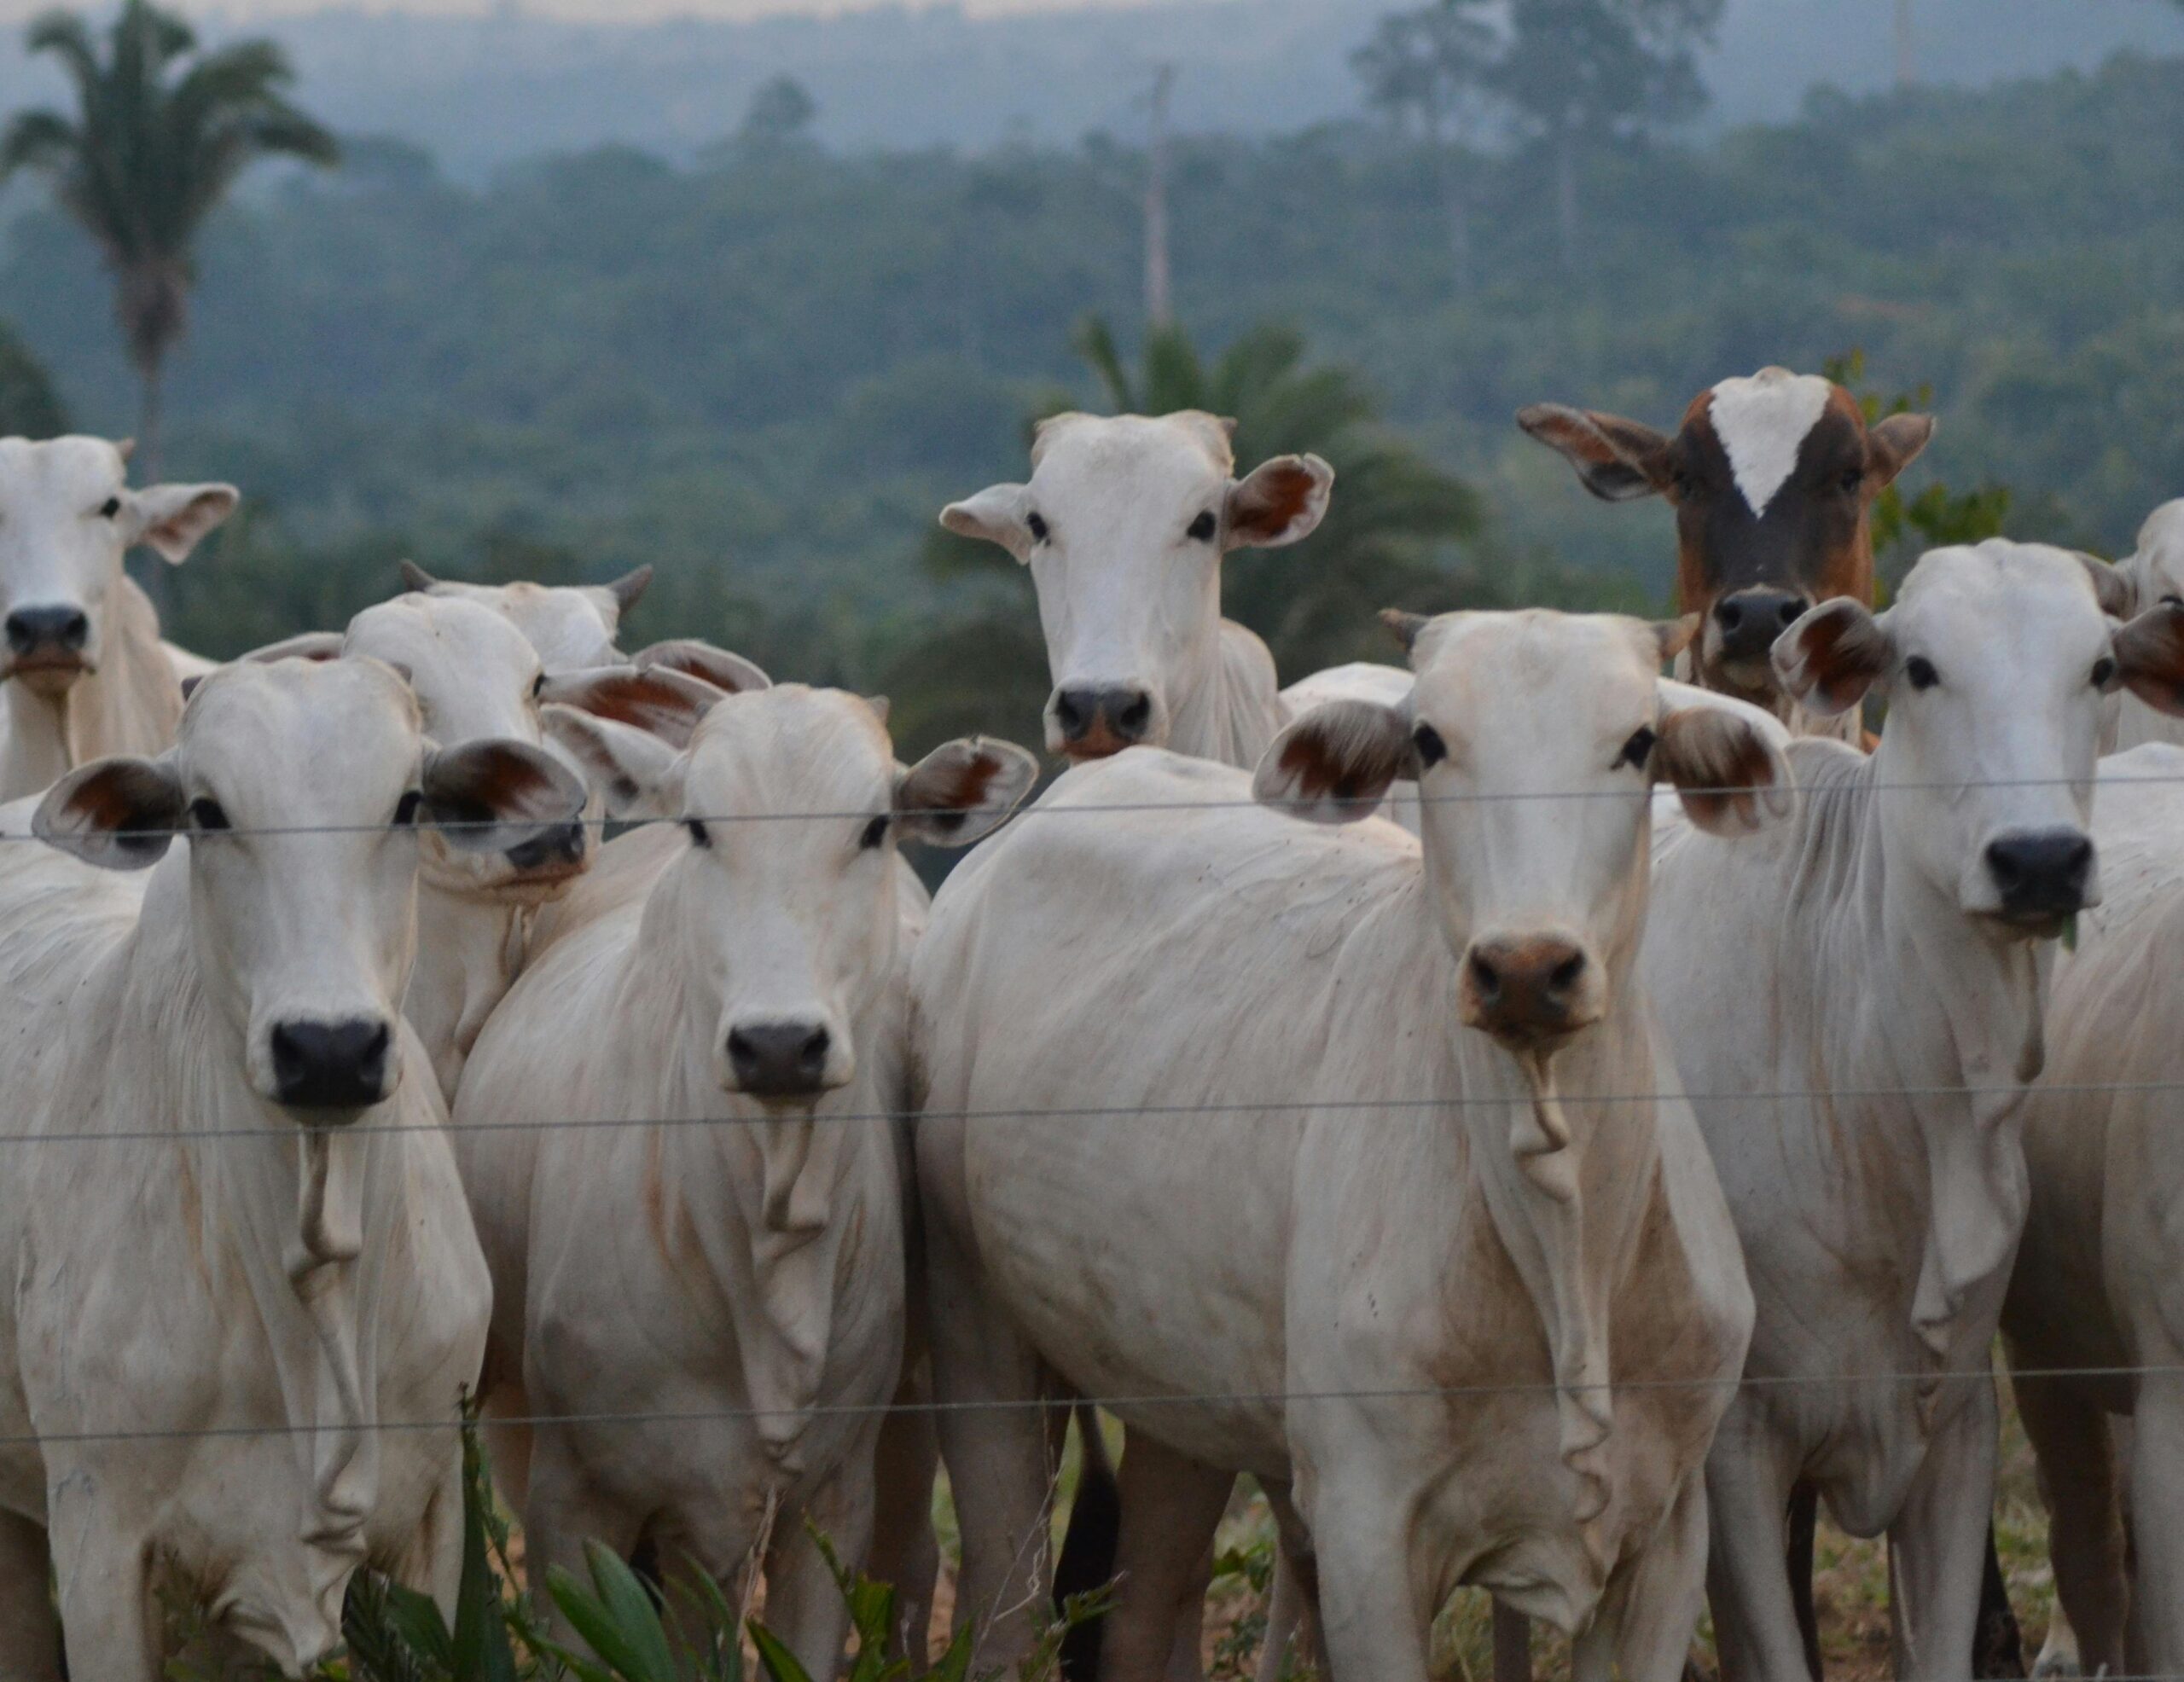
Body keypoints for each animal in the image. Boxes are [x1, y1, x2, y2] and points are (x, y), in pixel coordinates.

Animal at [911, 607, 1797, 1682]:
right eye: (1430, 740)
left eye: (1636, 742)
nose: (1525, 967)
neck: (1565, 1254)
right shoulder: (1368, 1531)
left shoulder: (1663, 1539)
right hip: (980, 1344)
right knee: (1006, 1612)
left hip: (1180, 1400)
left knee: (1142, 1608)